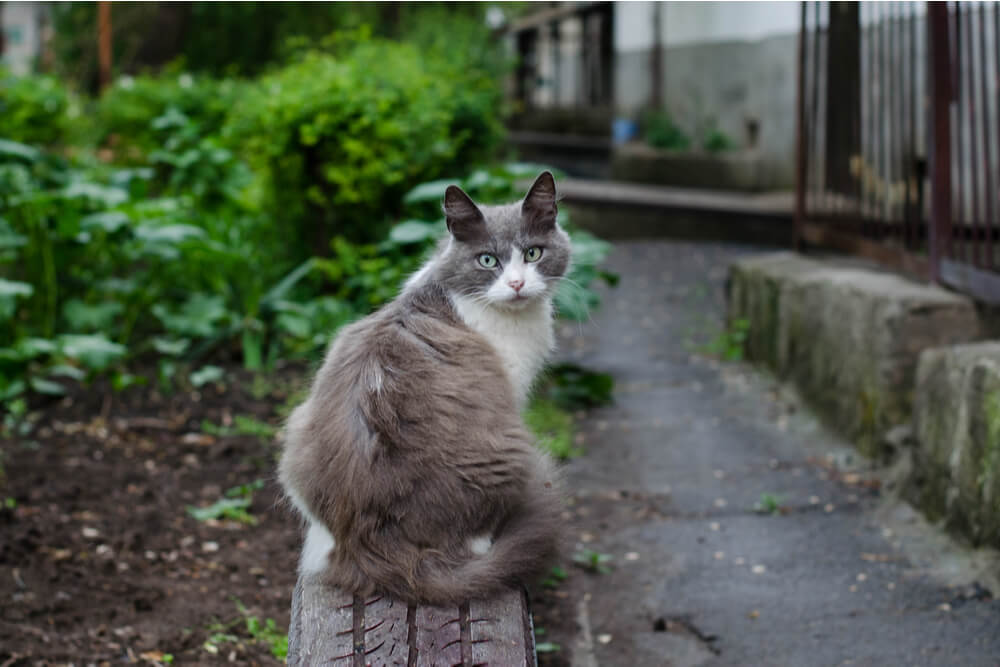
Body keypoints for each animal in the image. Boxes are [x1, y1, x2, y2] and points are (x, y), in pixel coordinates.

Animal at [278, 171, 572, 604]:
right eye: (488, 260)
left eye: (533, 253)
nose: (517, 284)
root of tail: (371, 548)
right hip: (511, 445)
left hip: (297, 430)